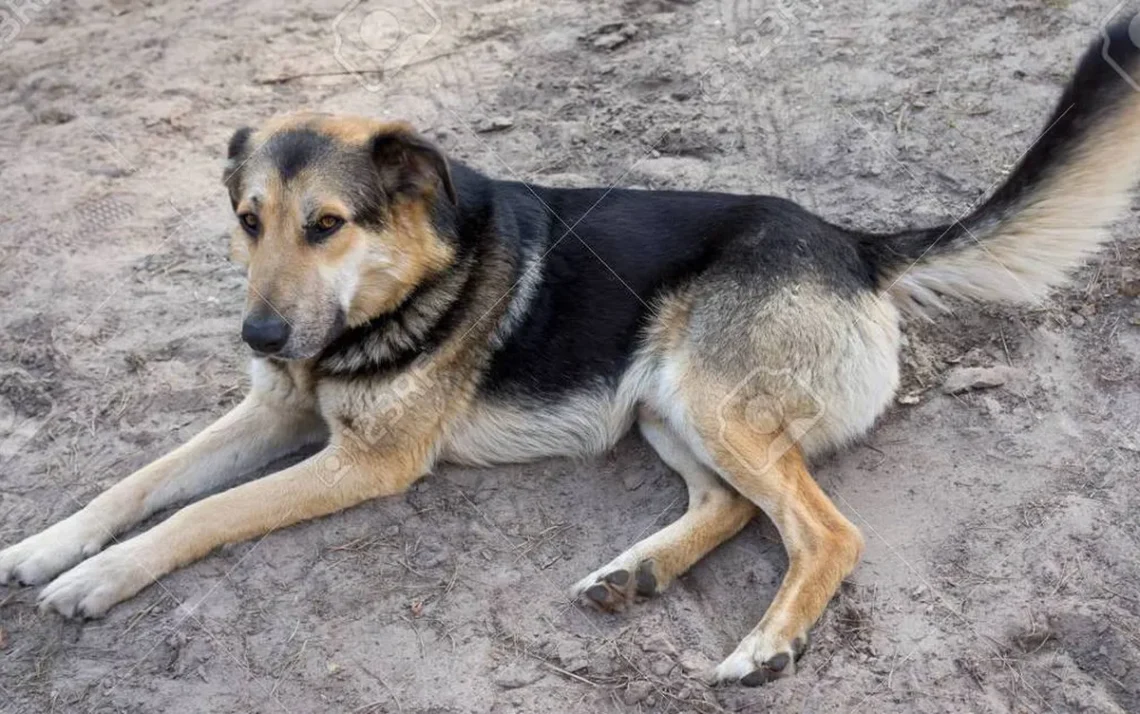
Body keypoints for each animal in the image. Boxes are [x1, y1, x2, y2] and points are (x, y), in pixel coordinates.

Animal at [2, 20, 1140, 679]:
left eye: (325, 225)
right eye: (248, 220)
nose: (262, 335)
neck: (400, 283)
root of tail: (854, 243)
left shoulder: (365, 461)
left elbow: (198, 513)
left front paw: (99, 579)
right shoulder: (274, 407)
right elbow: (139, 482)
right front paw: (46, 547)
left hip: (708, 395)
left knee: (825, 530)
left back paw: (768, 642)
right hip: (664, 405)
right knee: (736, 506)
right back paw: (636, 575)